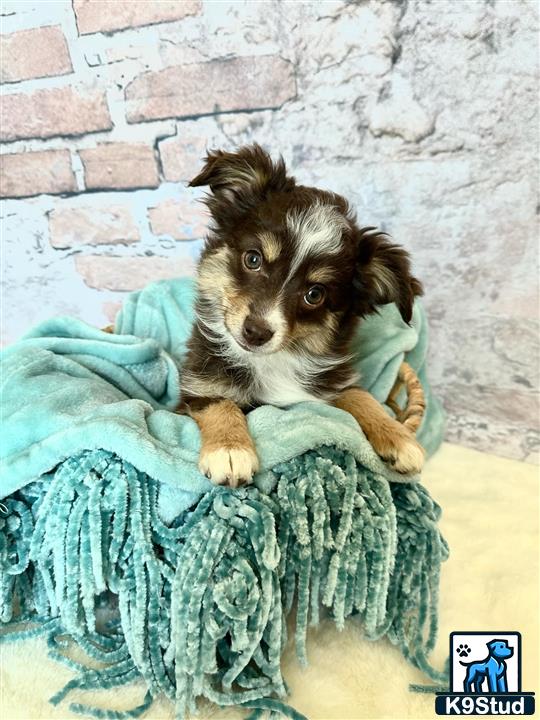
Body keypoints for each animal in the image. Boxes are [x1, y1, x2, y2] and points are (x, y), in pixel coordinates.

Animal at [180, 143, 426, 486]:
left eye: (315, 294)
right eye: (253, 259)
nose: (256, 332)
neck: (272, 361)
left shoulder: (327, 386)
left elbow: (360, 396)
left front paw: (400, 437)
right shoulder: (198, 385)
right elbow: (220, 403)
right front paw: (230, 450)